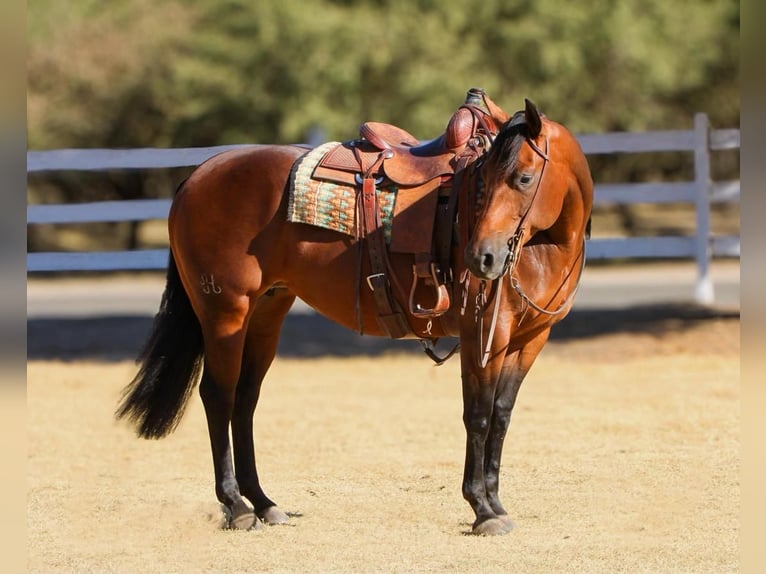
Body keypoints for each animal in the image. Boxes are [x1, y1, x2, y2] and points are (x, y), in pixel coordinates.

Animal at [115, 89, 592, 536]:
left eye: (524, 177)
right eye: (483, 182)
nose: (483, 258)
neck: (543, 246)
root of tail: (198, 175)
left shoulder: (529, 340)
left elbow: (502, 416)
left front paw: (495, 502)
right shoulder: (482, 335)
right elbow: (477, 415)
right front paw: (482, 508)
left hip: (266, 314)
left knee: (245, 400)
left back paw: (264, 503)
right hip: (224, 313)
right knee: (219, 396)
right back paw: (236, 506)